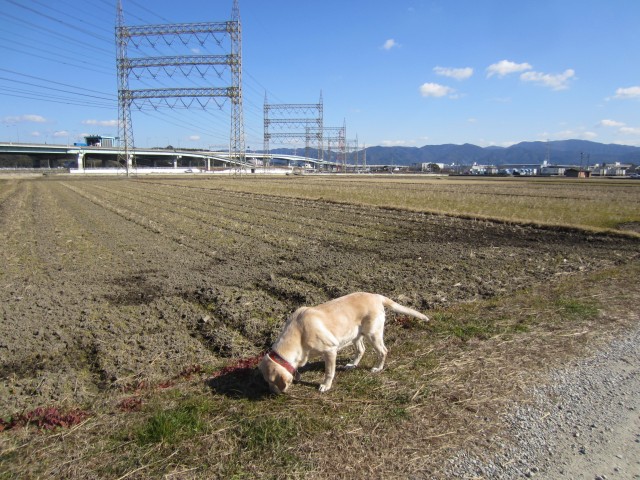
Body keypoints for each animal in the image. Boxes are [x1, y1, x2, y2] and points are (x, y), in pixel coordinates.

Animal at [258, 292, 430, 394]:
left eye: (271, 381)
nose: (272, 392)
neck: (299, 333)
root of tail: (376, 295)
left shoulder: (330, 350)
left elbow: (329, 372)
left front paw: (325, 386)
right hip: (355, 335)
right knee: (361, 350)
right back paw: (352, 365)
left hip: (373, 334)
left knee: (383, 351)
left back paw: (377, 368)